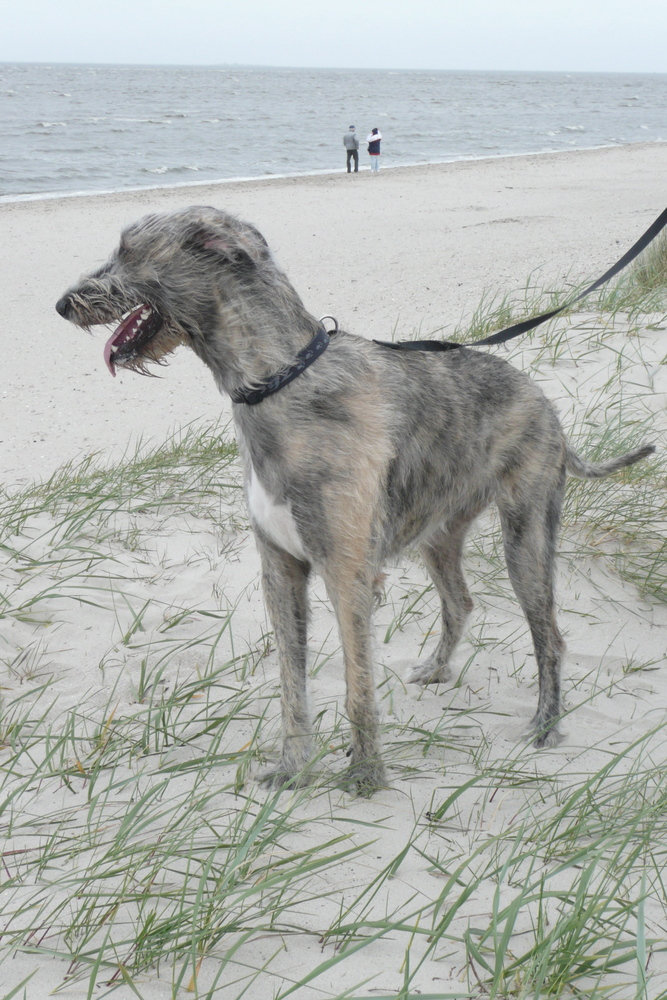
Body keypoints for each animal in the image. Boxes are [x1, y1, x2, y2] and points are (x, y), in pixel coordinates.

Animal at [57, 205, 656, 796]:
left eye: (128, 251)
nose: (62, 305)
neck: (279, 383)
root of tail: (545, 402)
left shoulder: (347, 574)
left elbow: (357, 686)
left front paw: (366, 774)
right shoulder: (281, 568)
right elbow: (291, 682)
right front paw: (294, 765)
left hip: (526, 533)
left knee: (550, 635)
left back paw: (546, 723)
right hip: (439, 533)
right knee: (460, 602)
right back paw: (437, 670)